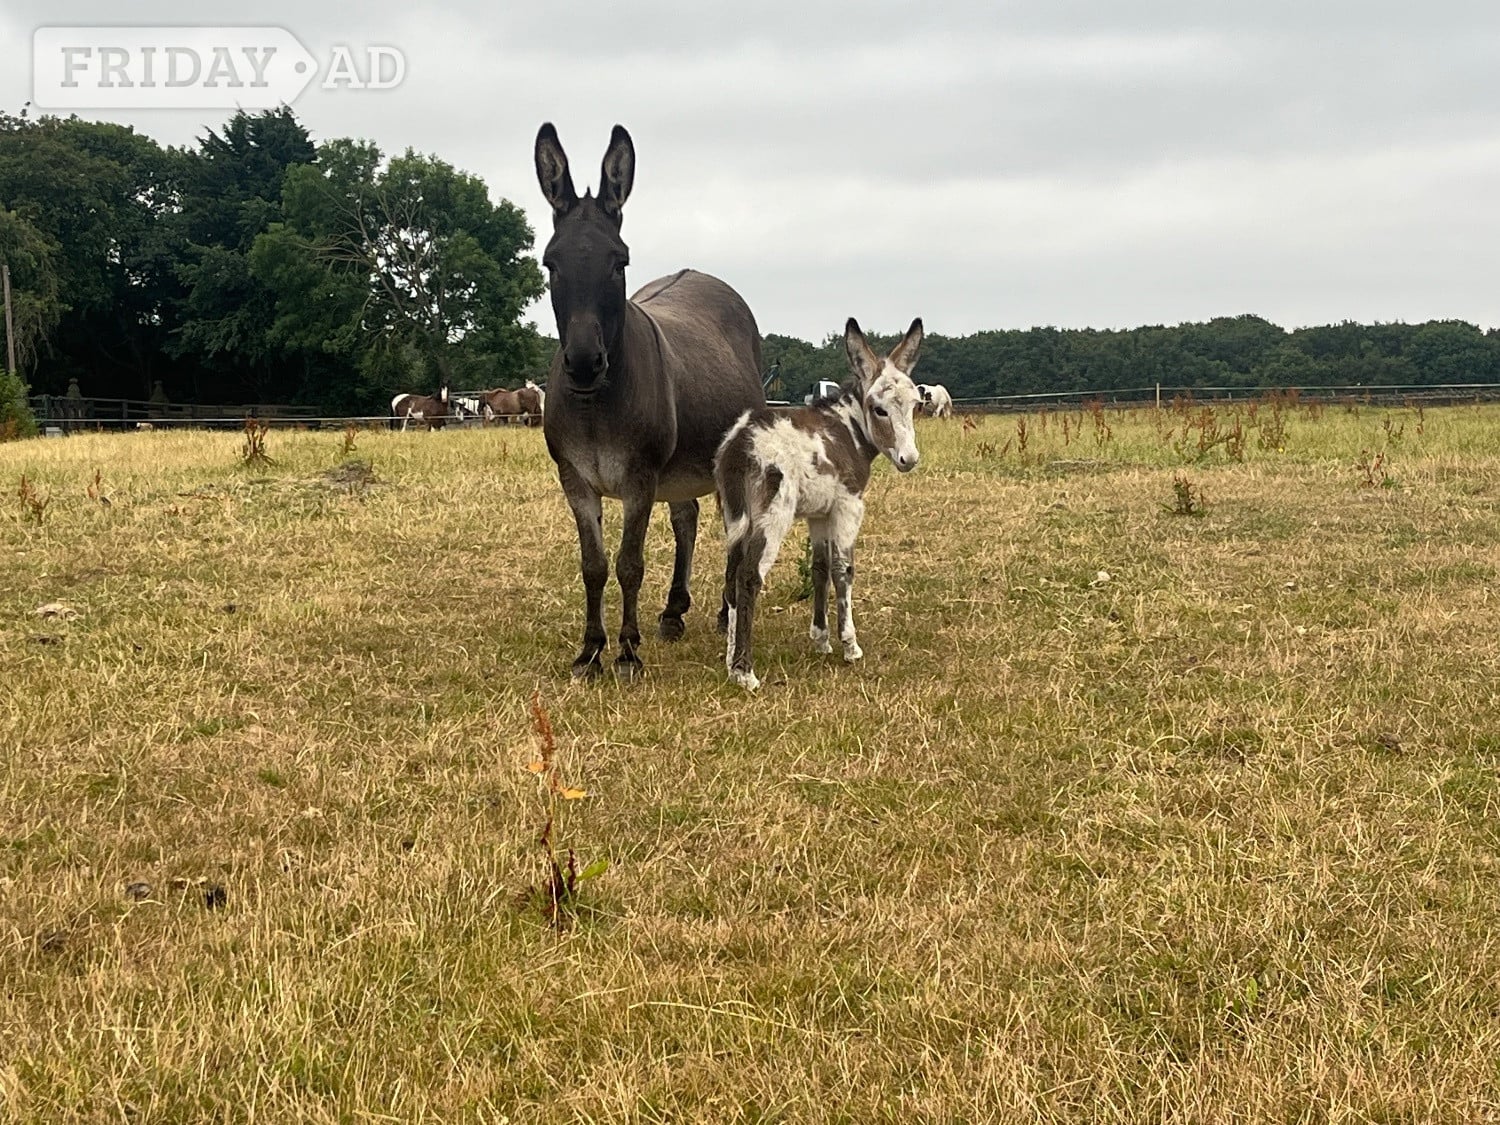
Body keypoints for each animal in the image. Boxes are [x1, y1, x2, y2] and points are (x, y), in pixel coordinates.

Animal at [534, 122, 766, 677]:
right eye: (551, 263)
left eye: (620, 262)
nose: (583, 363)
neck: (595, 407)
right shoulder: (575, 478)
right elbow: (593, 565)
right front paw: (589, 651)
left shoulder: (639, 477)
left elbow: (629, 564)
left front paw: (626, 651)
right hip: (681, 467)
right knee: (687, 520)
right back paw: (674, 611)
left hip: (724, 457)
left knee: (733, 526)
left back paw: (726, 609)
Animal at [715, 317, 924, 691]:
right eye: (880, 409)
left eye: (916, 406)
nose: (909, 459)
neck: (848, 430)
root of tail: (741, 444)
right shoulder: (848, 505)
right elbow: (843, 570)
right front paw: (849, 645)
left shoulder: (819, 514)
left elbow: (819, 568)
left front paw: (821, 639)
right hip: (773, 515)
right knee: (749, 577)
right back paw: (745, 671)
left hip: (735, 517)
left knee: (730, 576)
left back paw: (729, 662)